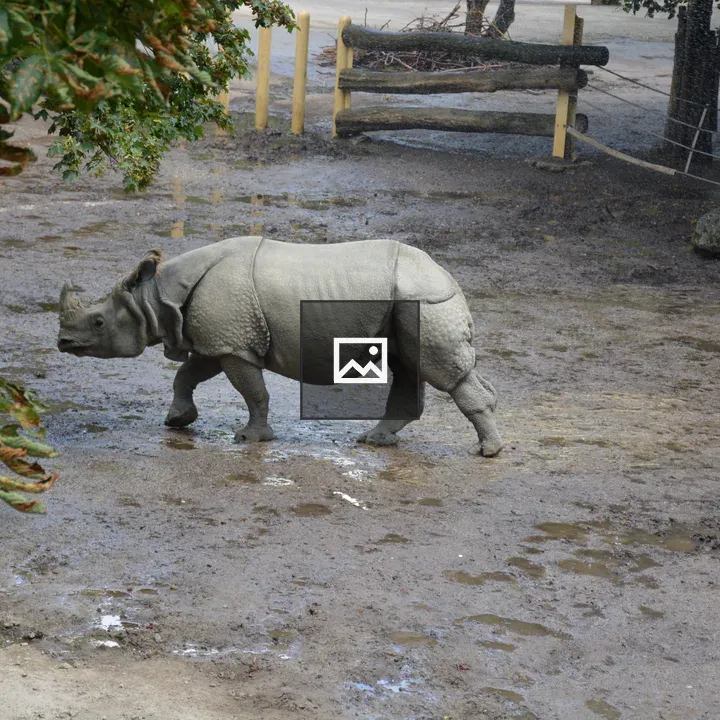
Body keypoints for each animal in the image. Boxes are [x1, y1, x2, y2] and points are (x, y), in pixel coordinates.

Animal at [57, 237, 503, 456]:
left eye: (98, 322)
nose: (63, 342)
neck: (157, 296)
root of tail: (448, 277)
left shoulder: (233, 341)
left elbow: (253, 391)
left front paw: (250, 438)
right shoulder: (220, 338)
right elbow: (187, 373)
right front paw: (178, 421)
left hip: (424, 301)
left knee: (441, 372)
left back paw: (488, 452)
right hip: (408, 303)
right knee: (410, 366)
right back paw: (374, 442)